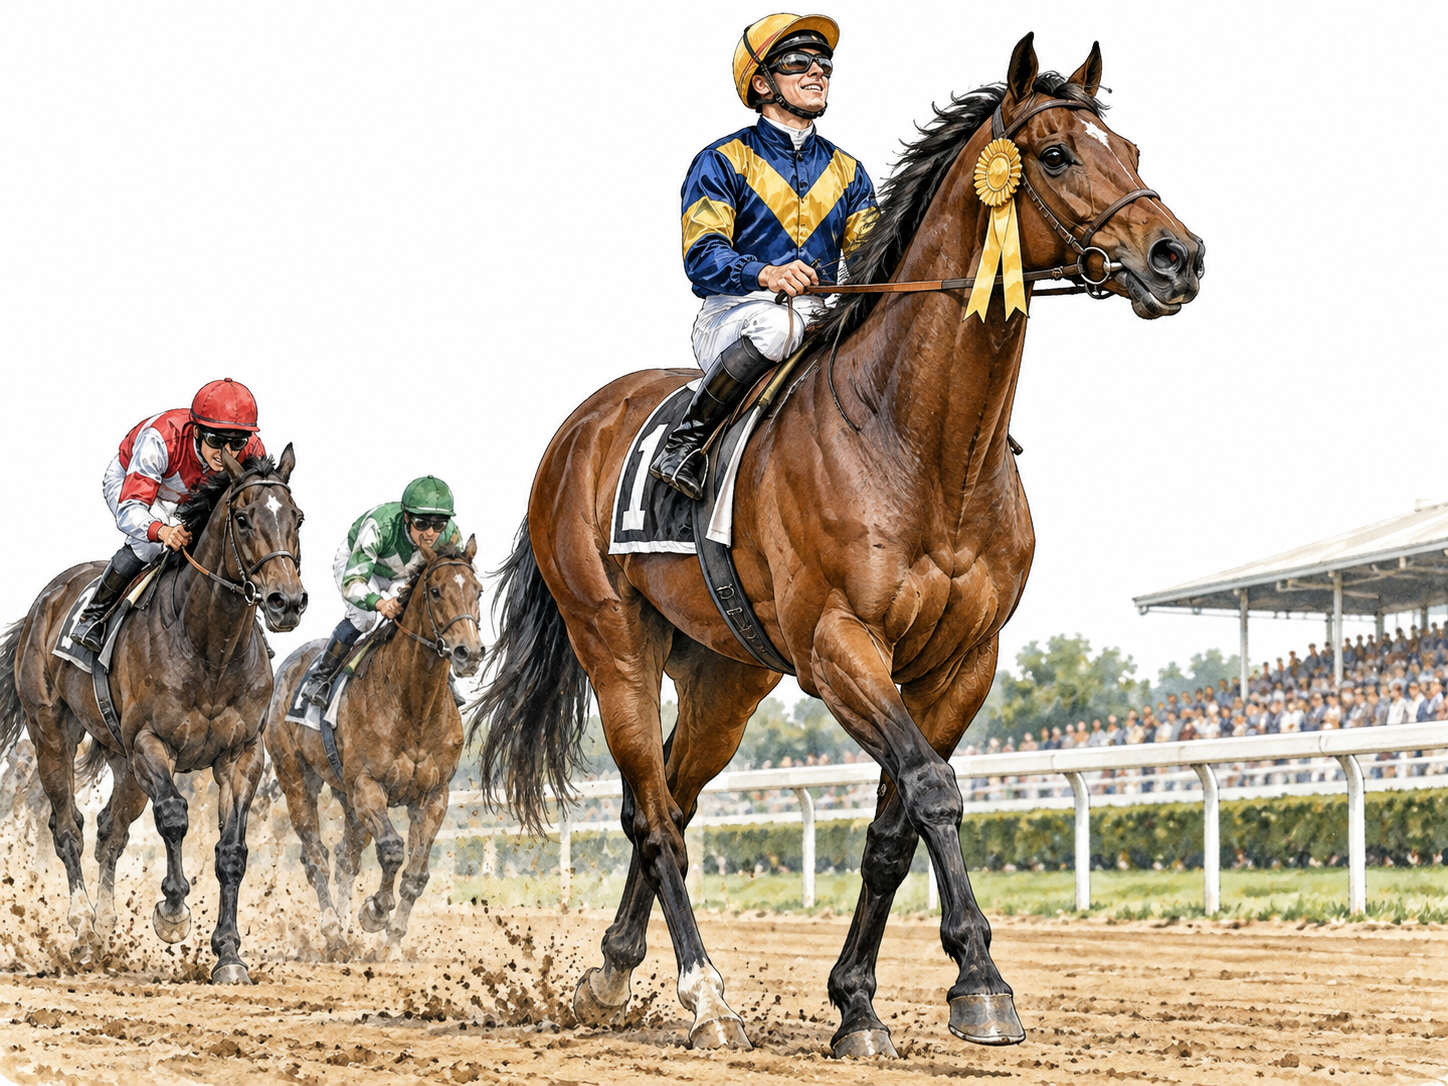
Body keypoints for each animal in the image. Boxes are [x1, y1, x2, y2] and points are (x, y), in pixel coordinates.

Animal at [0, 447, 305, 983]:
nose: (285, 601)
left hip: (121, 761)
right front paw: (173, 911)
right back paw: (82, 927)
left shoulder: (243, 755)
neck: (210, 647)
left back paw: (105, 926)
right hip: (51, 733)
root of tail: (44, 601)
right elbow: (174, 818)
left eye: (298, 518)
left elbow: (232, 851)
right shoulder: (150, 744)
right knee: (68, 829)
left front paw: (229, 954)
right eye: (243, 519)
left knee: (110, 831)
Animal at [265, 536, 483, 960]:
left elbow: (417, 873)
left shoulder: (434, 795)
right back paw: (333, 930)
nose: (469, 652)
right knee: (315, 855)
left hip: (345, 795)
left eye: (478, 591)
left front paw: (393, 941)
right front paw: (375, 911)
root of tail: (289, 665)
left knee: (346, 855)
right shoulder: (368, 785)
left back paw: (345, 926)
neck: (414, 705)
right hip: (298, 779)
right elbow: (393, 850)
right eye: (436, 591)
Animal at [474, 34, 1202, 1056]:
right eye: (1056, 154)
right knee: (653, 815)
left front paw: (859, 1004)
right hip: (612, 640)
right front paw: (982, 980)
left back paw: (614, 974)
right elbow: (932, 788)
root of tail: (578, 428)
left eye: (1130, 149)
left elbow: (894, 827)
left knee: (670, 804)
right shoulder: (838, 645)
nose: (1179, 255)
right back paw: (705, 995)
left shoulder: (963, 662)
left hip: (725, 674)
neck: (923, 446)